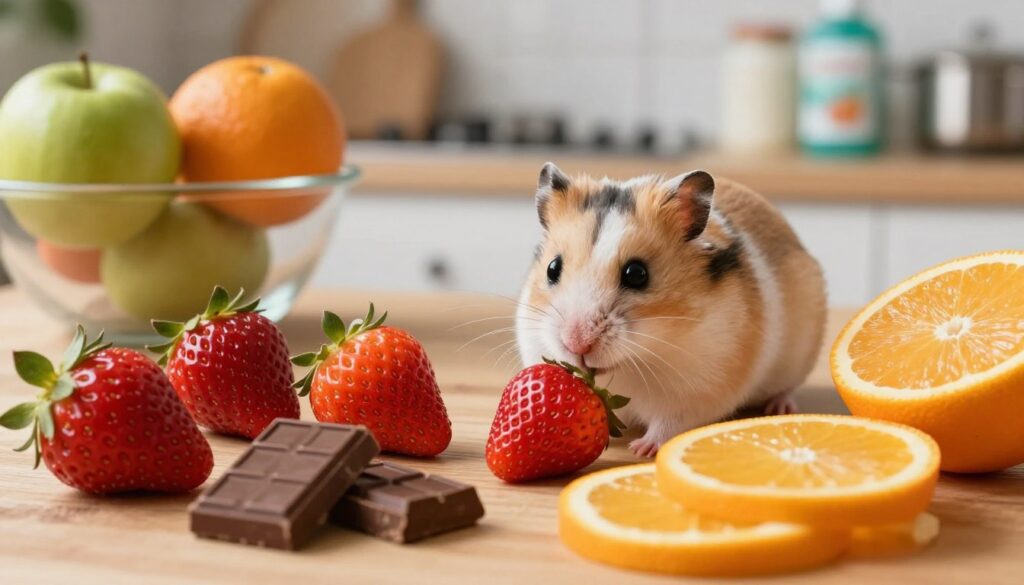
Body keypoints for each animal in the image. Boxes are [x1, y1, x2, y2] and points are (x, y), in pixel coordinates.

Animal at [516, 162, 826, 457]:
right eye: (552, 268)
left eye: (637, 274)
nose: (575, 343)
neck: (633, 363)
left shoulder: (696, 393)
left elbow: (667, 425)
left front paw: (641, 449)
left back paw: (780, 407)